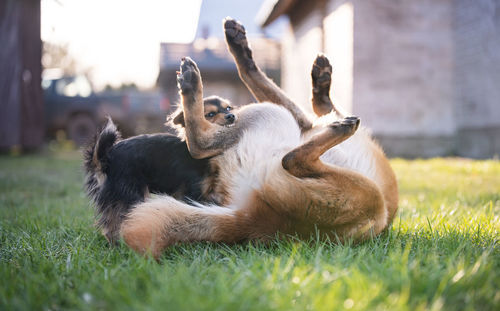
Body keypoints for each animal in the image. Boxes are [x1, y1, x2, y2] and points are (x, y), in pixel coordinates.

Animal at [83, 95, 236, 244]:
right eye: (210, 114)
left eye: (228, 108)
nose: (231, 116)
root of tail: (106, 158)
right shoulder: (193, 193)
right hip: (131, 193)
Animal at [119, 18, 396, 260]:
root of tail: (261, 222)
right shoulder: (303, 121)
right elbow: (258, 77)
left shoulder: (300, 121)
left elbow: (257, 78)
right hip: (273, 118)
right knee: (287, 156)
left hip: (270, 117)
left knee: (222, 147)